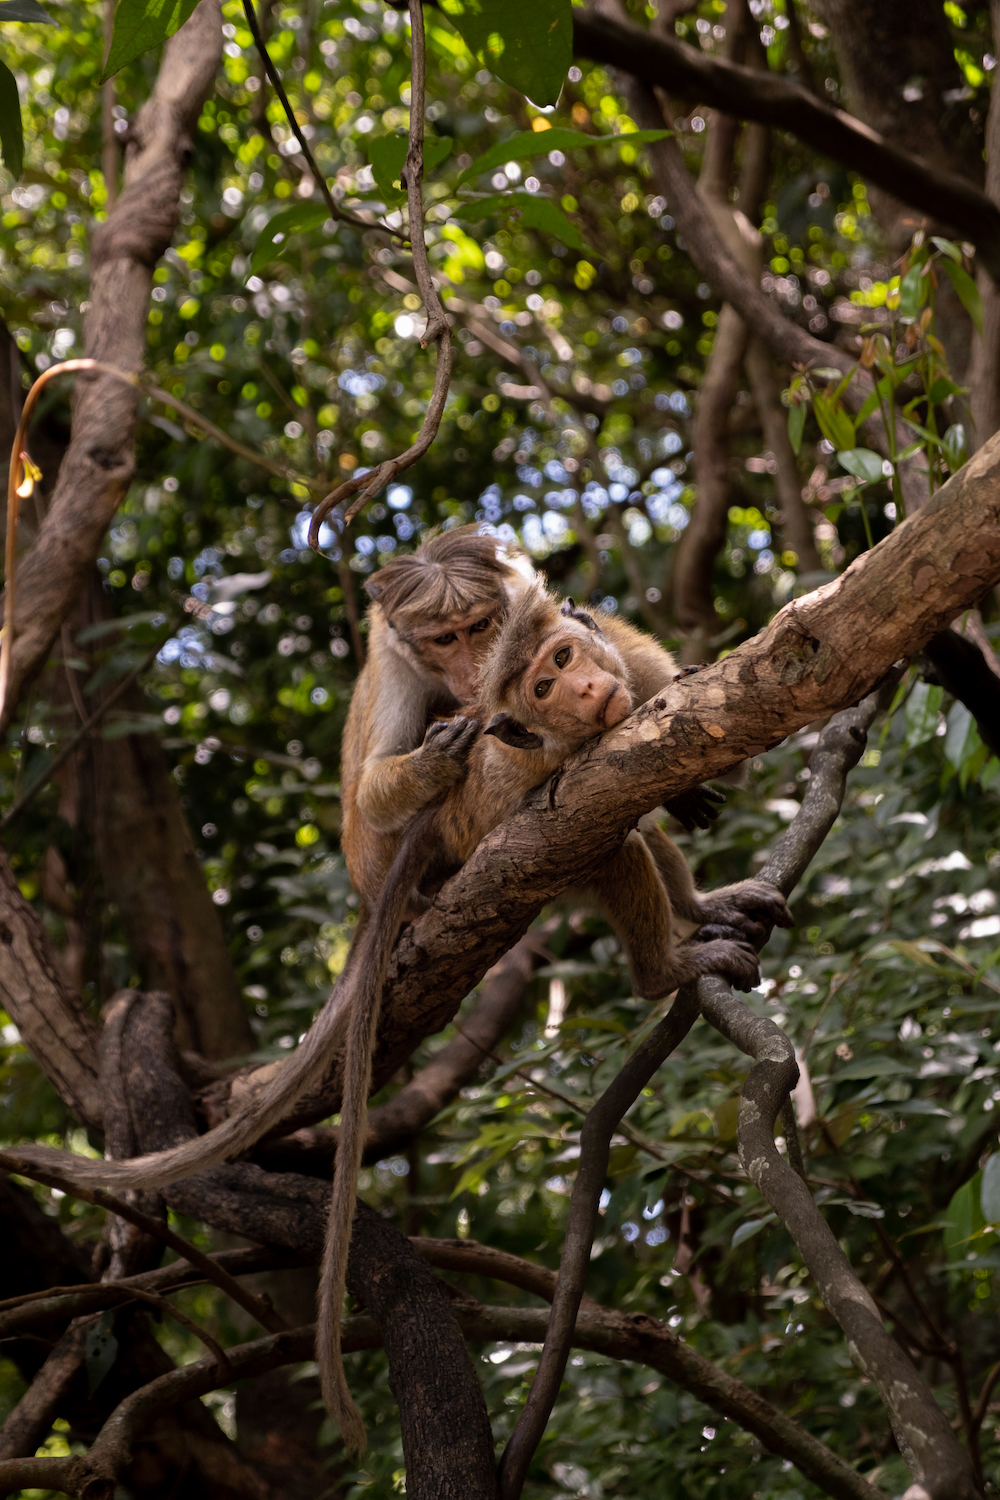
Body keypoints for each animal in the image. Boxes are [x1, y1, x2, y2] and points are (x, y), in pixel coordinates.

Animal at [7, 576, 791, 1452]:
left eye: (563, 657)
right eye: (544, 688)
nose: (586, 691)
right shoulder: (536, 764)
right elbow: (591, 802)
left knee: (631, 827)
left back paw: (700, 907)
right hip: (487, 834)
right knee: (607, 835)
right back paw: (665, 967)